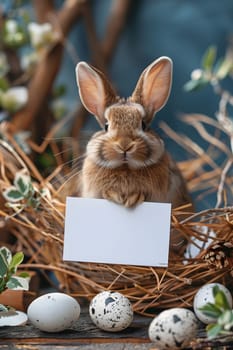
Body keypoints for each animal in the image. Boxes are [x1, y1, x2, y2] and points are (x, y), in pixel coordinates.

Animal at [75, 56, 192, 254]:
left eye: (143, 125)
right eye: (106, 126)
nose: (124, 145)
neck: (125, 168)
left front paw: (133, 198)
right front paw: (115, 196)